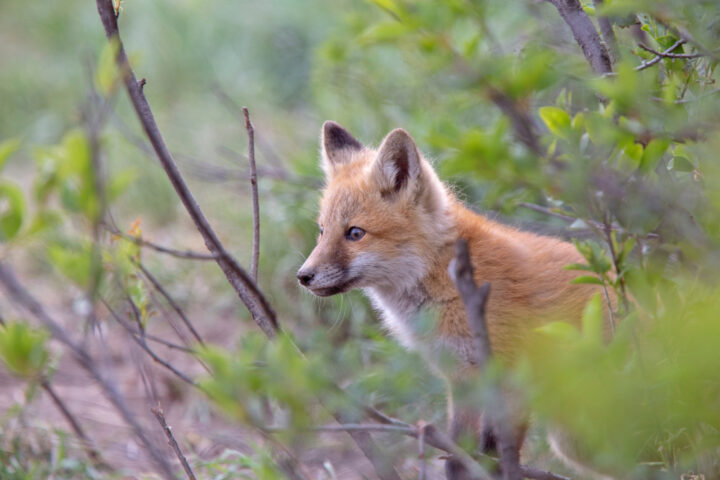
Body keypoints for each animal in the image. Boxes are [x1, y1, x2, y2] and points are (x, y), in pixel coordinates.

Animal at [296, 123, 612, 472]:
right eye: (322, 231)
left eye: (355, 233)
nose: (303, 276)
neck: (445, 279)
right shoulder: (462, 380)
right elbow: (459, 457)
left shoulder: (513, 378)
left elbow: (498, 457)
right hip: (575, 441)